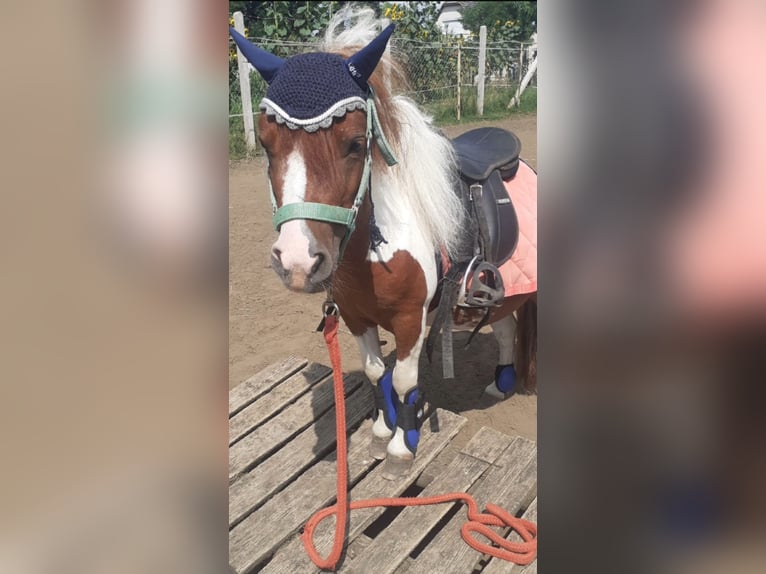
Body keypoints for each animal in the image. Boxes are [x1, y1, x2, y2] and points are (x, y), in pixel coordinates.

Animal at [231, 10, 536, 482]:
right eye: (266, 144)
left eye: (356, 144)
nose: (297, 261)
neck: (373, 253)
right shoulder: (356, 317)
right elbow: (377, 374)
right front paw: (379, 432)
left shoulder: (412, 321)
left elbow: (406, 382)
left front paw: (400, 448)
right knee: (504, 325)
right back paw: (501, 382)